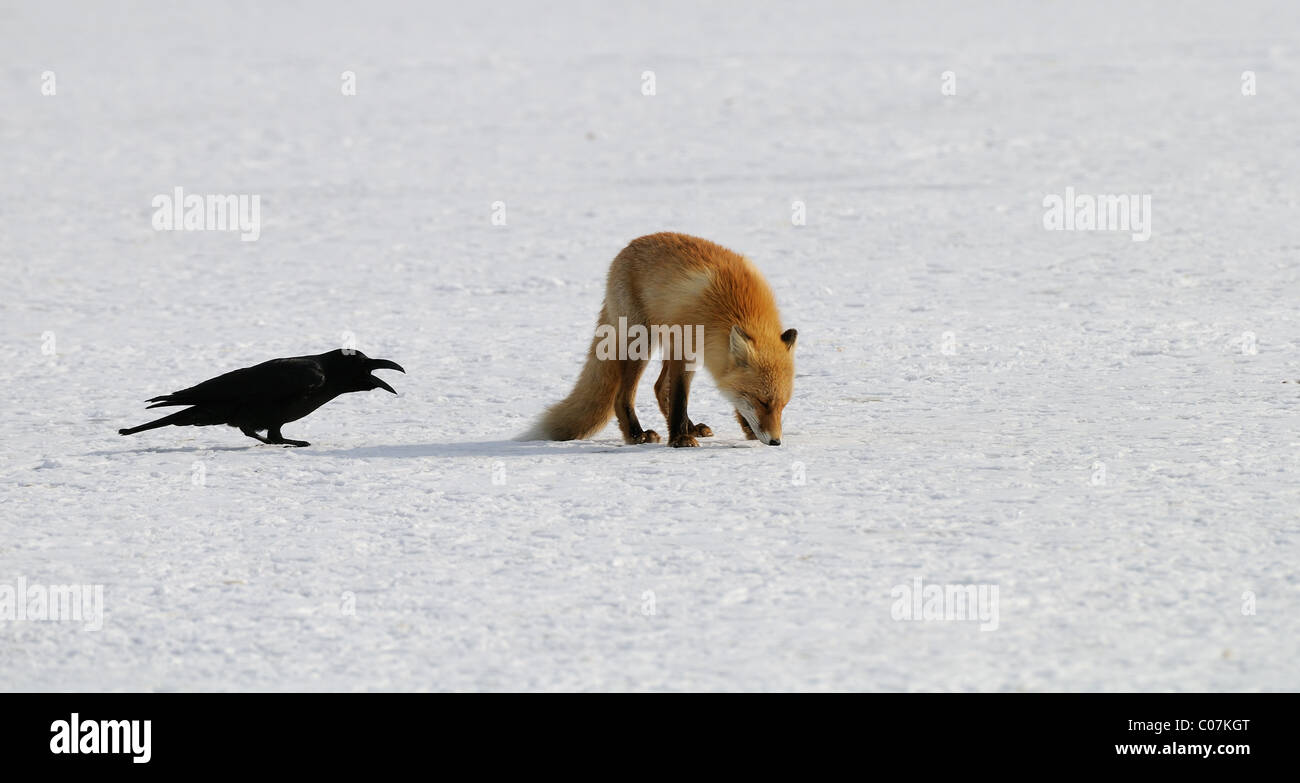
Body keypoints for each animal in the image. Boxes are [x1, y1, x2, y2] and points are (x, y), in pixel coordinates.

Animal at [522, 231, 795, 444]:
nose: (776, 441)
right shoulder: (684, 346)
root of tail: (628, 247)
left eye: (782, 405)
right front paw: (680, 439)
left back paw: (690, 427)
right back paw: (637, 435)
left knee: (658, 386)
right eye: (762, 401)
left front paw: (745, 429)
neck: (737, 306)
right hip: (641, 342)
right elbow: (679, 397)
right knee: (623, 396)